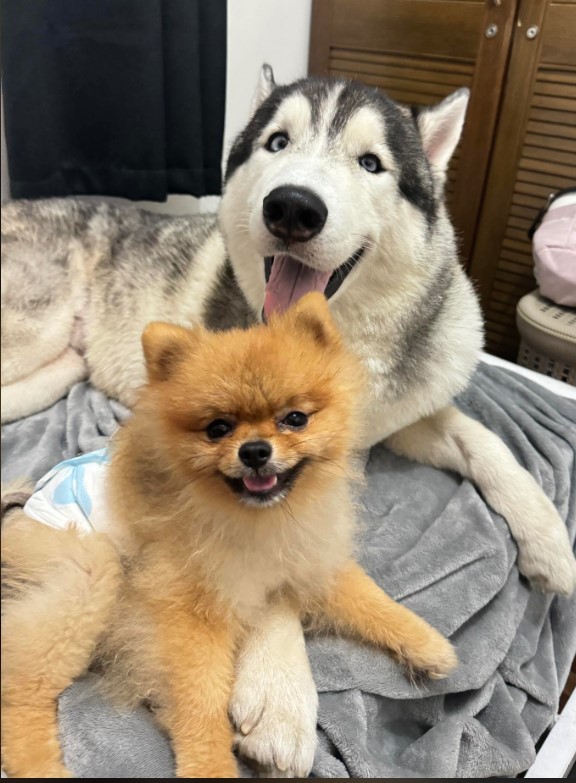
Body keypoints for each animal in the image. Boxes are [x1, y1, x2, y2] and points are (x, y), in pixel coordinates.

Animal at [1, 294, 458, 778]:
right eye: (217, 428)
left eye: (295, 419)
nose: (255, 450)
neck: (259, 518)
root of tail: (23, 510)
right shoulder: (187, 609)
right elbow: (200, 701)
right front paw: (210, 765)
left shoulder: (308, 556)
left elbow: (368, 597)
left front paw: (428, 645)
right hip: (84, 574)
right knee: (21, 691)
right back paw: (42, 766)